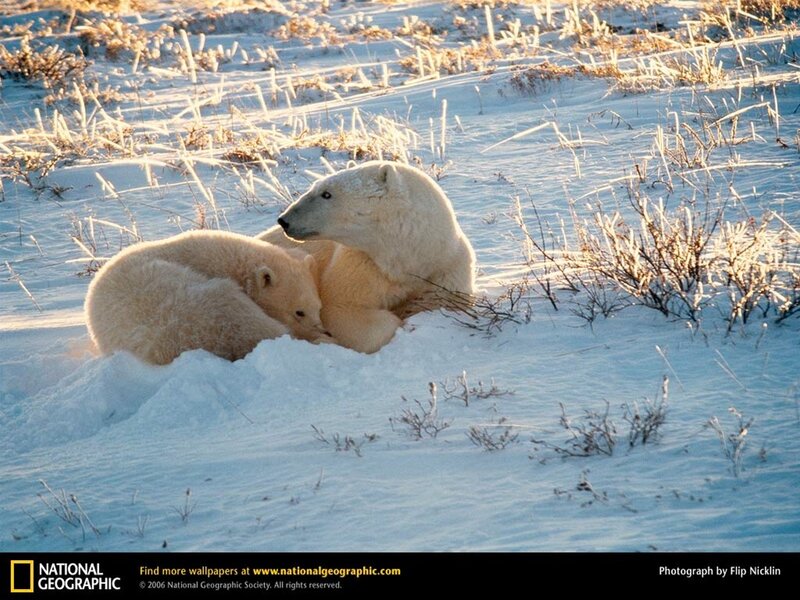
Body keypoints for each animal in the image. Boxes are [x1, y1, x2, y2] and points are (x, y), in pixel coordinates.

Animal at [257, 160, 476, 353]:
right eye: (316, 187)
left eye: (326, 194)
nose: (284, 220)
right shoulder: (361, 265)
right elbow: (344, 309)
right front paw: (402, 322)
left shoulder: (445, 267)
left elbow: (443, 302)